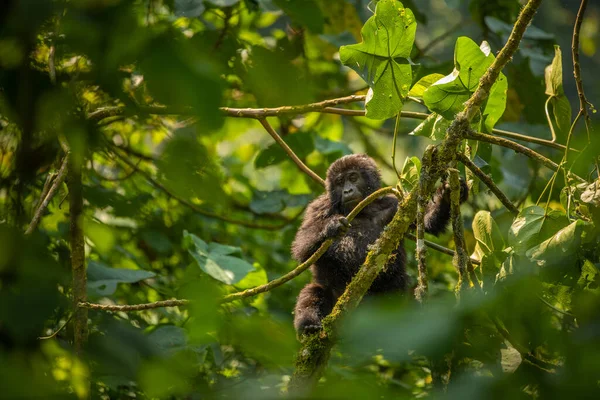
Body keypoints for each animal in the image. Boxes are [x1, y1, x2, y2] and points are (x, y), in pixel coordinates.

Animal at [292, 155, 466, 336]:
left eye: (353, 177)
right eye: (339, 182)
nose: (347, 191)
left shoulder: (395, 204)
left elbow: (425, 222)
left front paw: (447, 195)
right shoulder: (319, 206)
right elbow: (301, 245)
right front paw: (332, 226)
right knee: (313, 291)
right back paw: (309, 325)